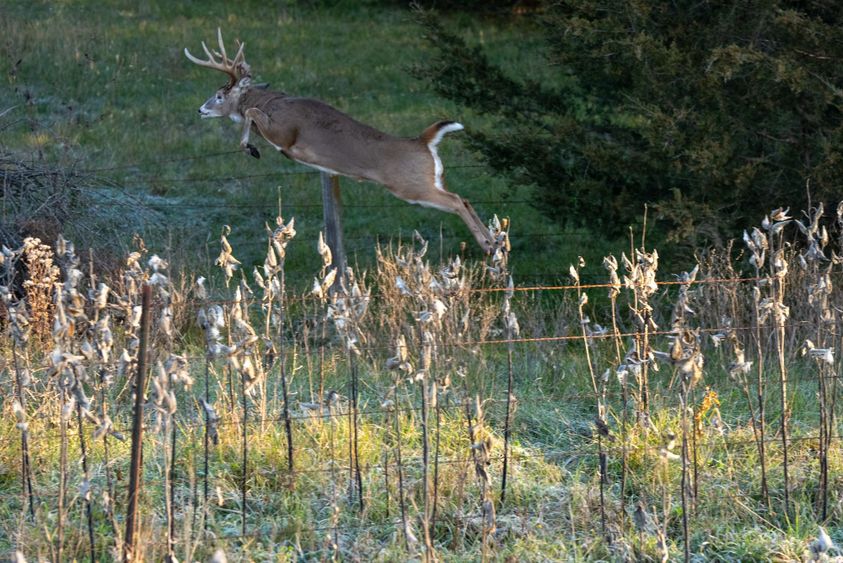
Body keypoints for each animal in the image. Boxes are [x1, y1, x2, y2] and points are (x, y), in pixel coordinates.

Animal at [185, 28, 498, 253]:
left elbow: (250, 113)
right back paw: (496, 244)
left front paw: (251, 148)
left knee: (456, 201)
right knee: (464, 198)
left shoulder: (286, 133)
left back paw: (487, 245)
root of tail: (424, 140)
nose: (200, 109)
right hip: (431, 179)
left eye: (219, 96)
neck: (272, 101)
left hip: (410, 185)